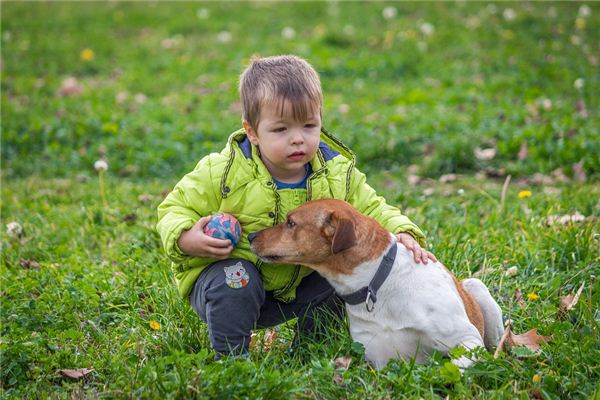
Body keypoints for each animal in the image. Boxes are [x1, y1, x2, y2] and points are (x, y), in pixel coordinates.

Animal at [246, 199, 504, 368]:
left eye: (290, 223)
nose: (250, 236)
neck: (377, 285)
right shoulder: (377, 357)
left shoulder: (467, 340)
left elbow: (455, 365)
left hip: (478, 290)